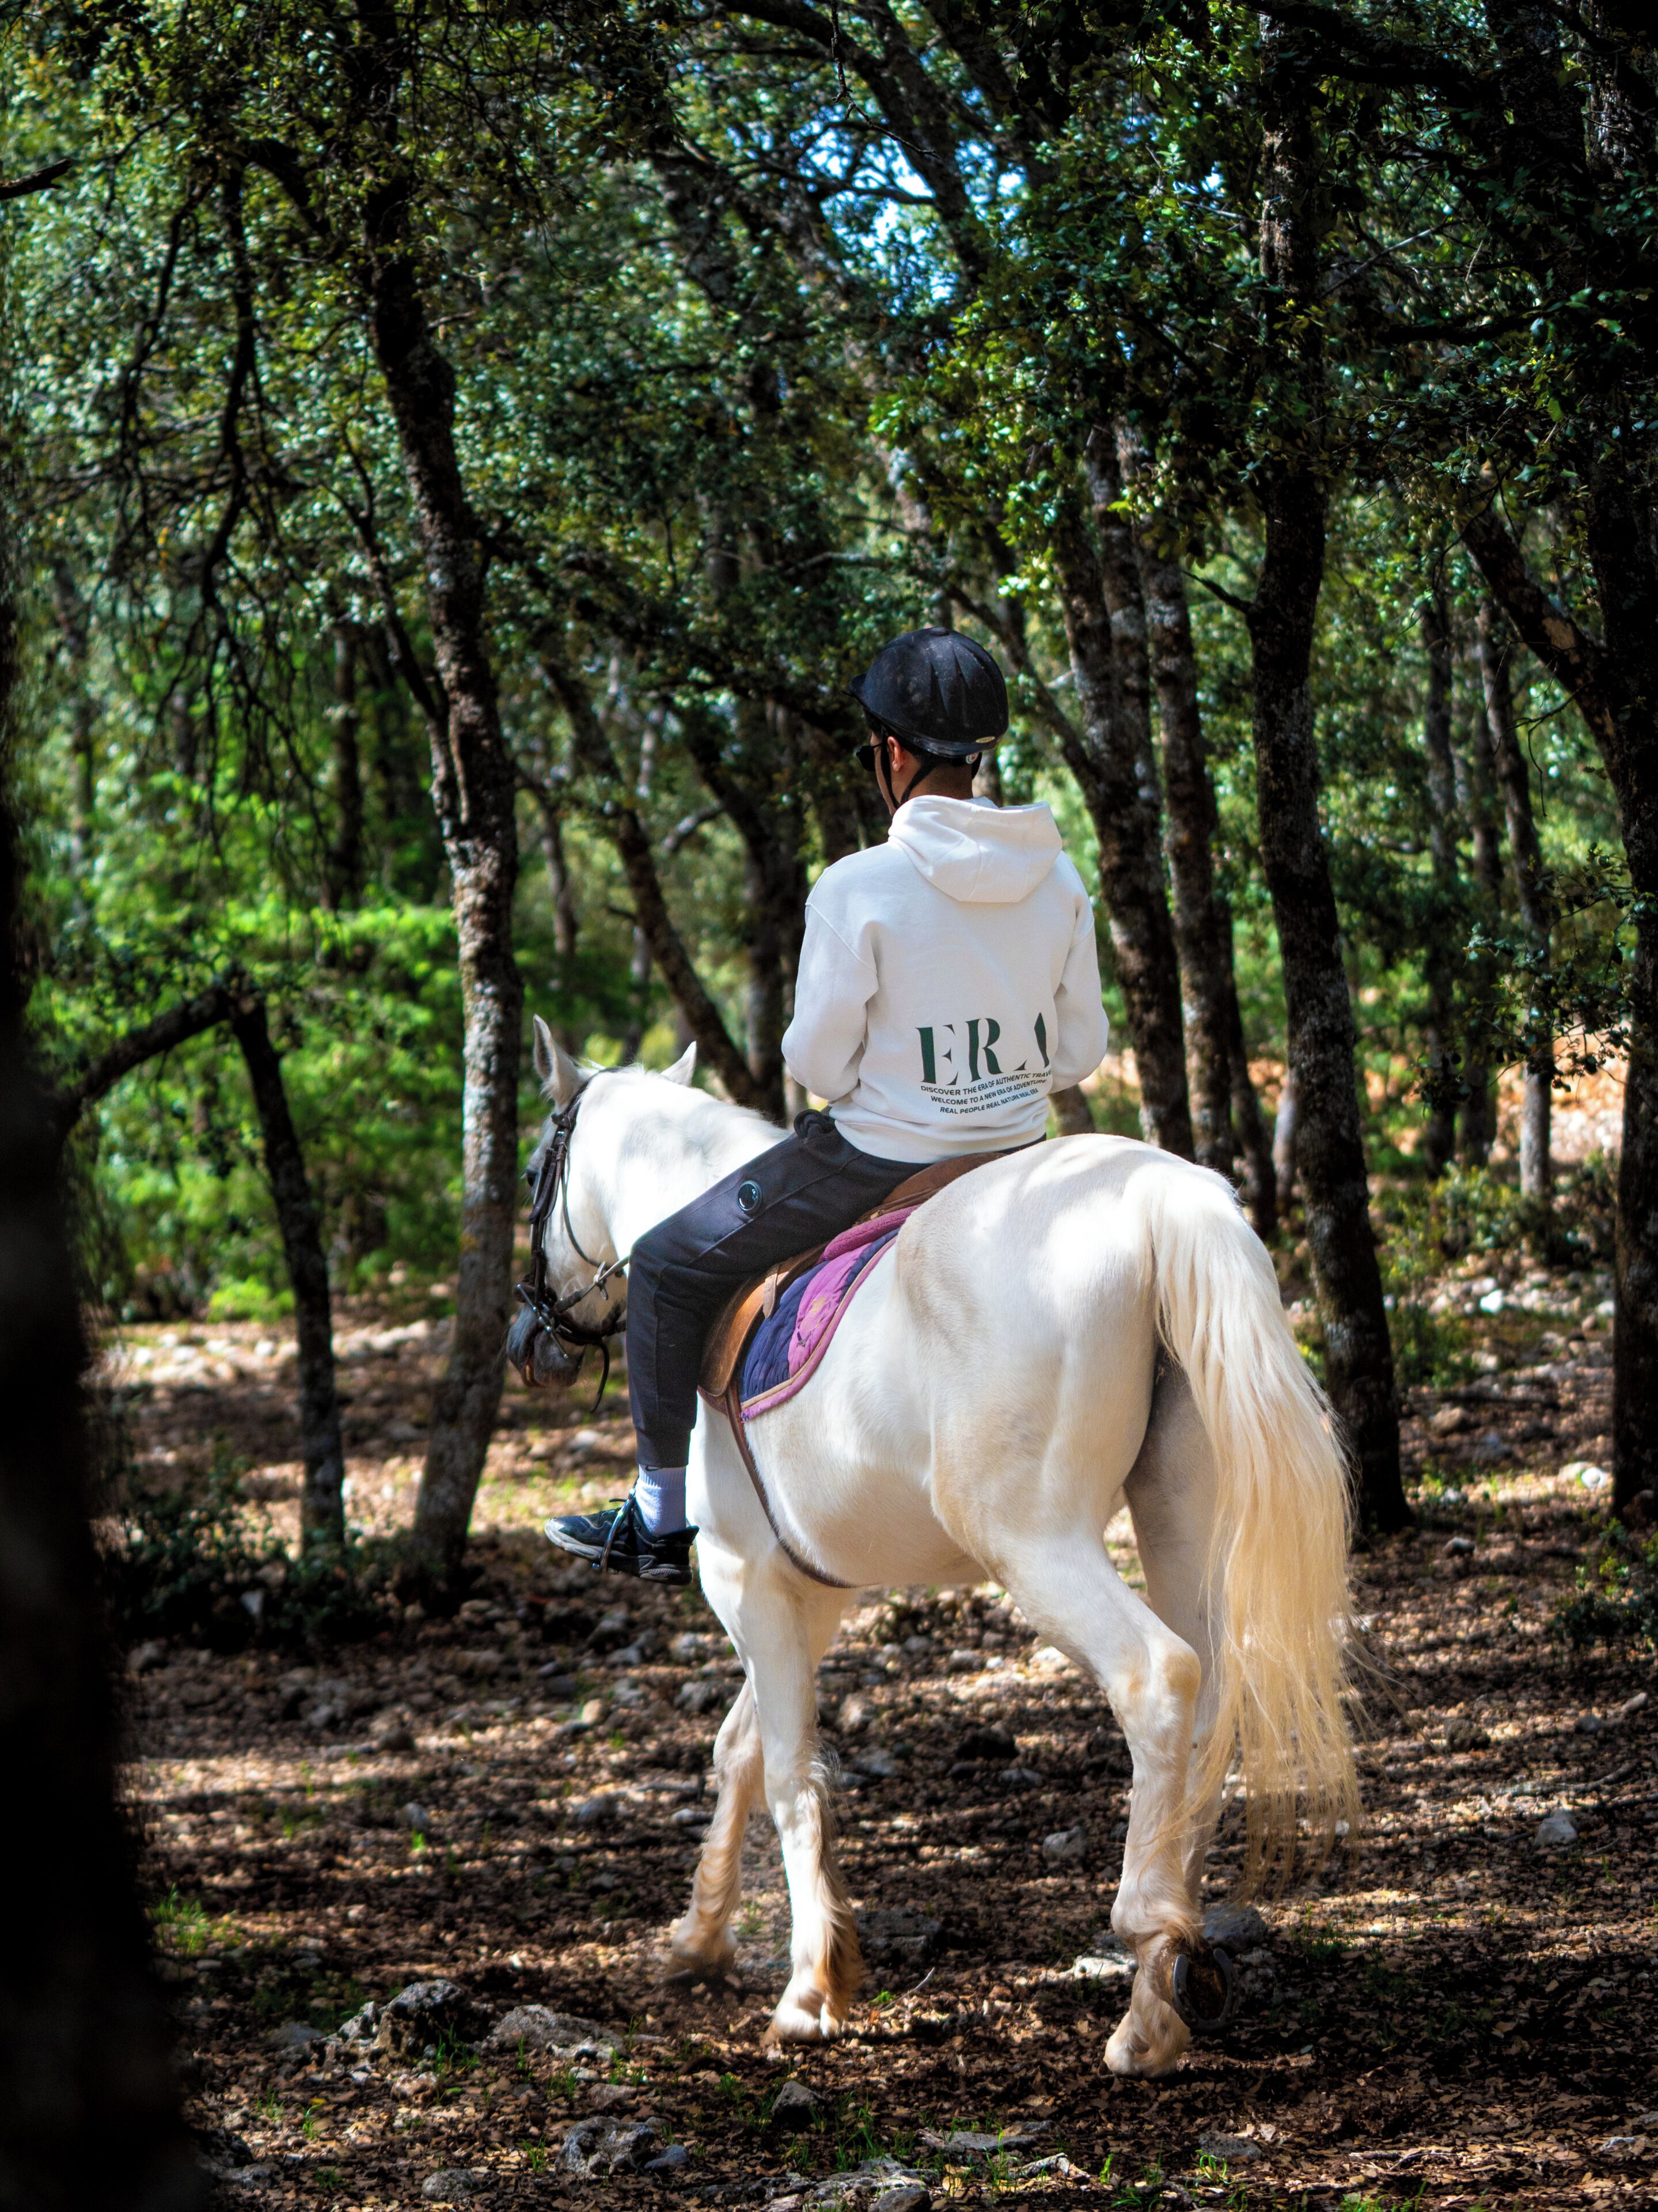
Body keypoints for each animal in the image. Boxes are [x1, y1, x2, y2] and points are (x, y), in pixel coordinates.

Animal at [520, 1019, 1358, 2077]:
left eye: (533, 1172)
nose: (531, 1340)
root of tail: (1152, 1197)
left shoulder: (742, 1577)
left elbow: (788, 1774)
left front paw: (806, 1994)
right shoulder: (810, 1592)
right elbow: (742, 1749)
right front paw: (700, 1941)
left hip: (1031, 1541)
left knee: (1156, 1677)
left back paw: (1148, 1953)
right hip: (1176, 1521)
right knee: (1207, 1698)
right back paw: (1164, 1985)